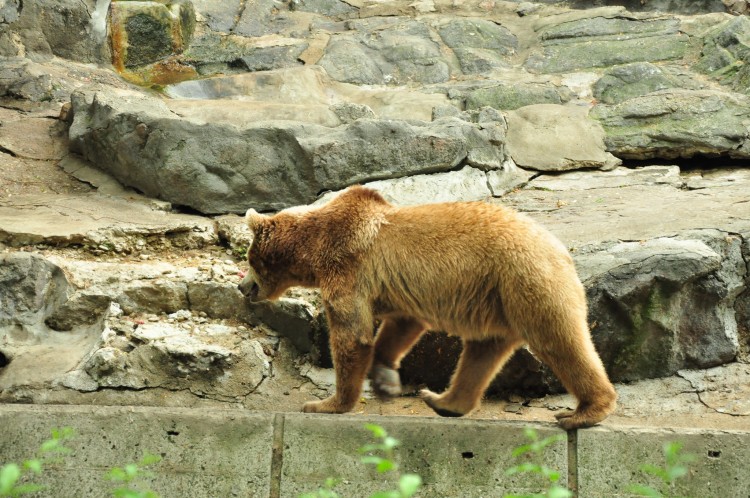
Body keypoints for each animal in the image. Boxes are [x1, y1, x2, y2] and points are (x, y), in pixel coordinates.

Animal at [239, 185, 616, 430]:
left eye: (249, 258)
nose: (242, 286)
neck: (313, 250)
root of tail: (562, 249)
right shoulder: (393, 292)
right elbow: (400, 327)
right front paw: (385, 376)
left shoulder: (348, 267)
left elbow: (351, 336)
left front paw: (325, 404)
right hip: (495, 298)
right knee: (481, 353)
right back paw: (442, 400)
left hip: (526, 280)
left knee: (558, 340)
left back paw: (582, 412)